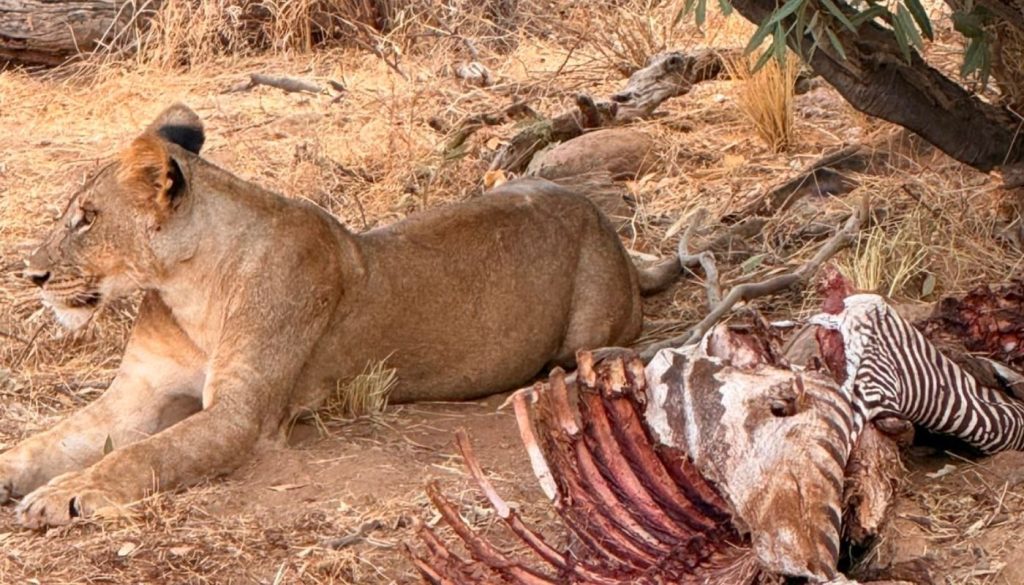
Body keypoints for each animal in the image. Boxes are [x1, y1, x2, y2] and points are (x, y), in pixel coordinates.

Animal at [5, 104, 679, 529]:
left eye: (85, 219)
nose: (32, 275)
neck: (184, 287)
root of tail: (609, 228)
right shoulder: (135, 397)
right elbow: (51, 441)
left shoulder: (242, 416)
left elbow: (142, 455)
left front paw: (67, 494)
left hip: (589, 320)